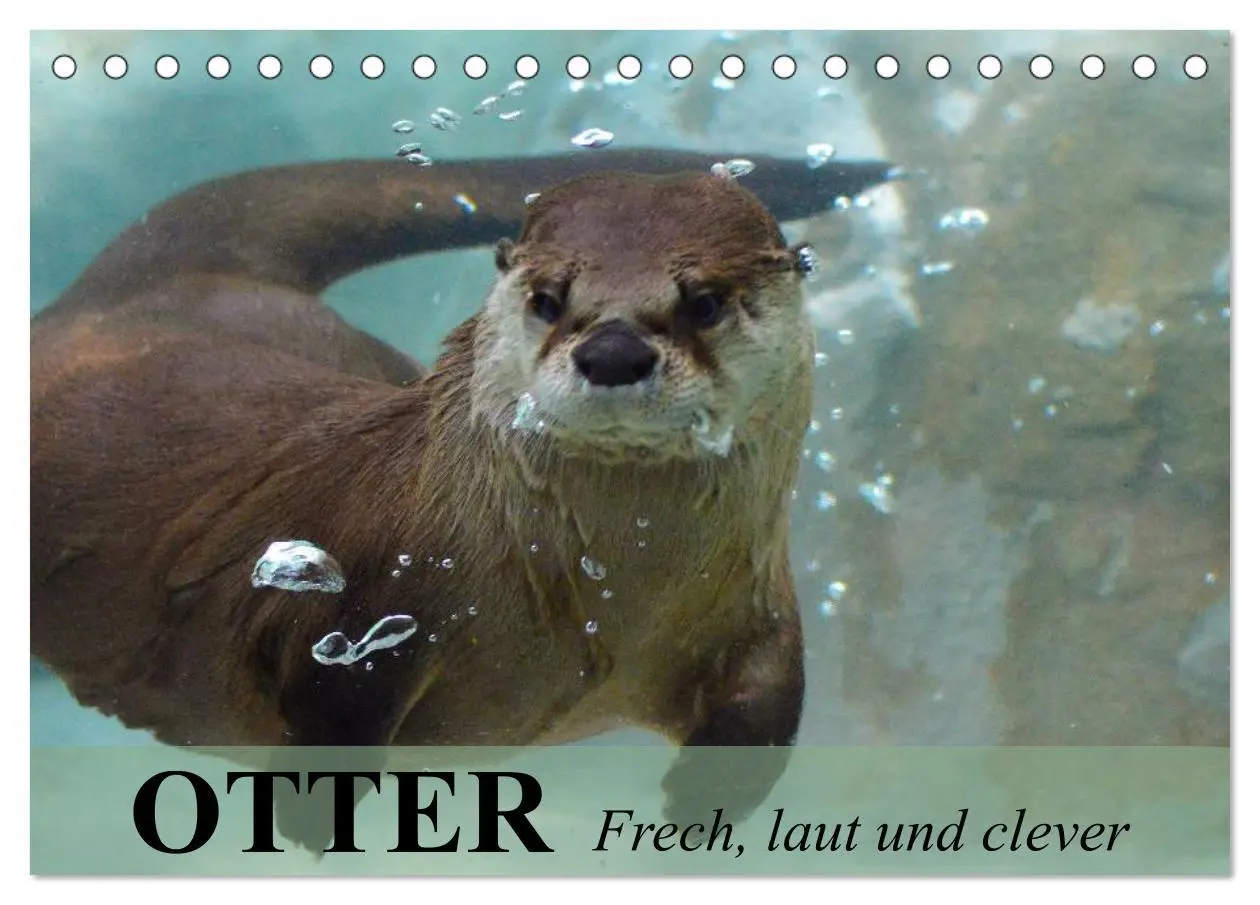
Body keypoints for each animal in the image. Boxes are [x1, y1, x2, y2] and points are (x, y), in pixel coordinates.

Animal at [31, 150, 892, 851]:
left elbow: (767, 708)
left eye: (705, 301)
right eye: (548, 298)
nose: (613, 350)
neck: (605, 602)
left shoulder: (756, 605)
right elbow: (330, 705)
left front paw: (699, 808)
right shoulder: (371, 596)